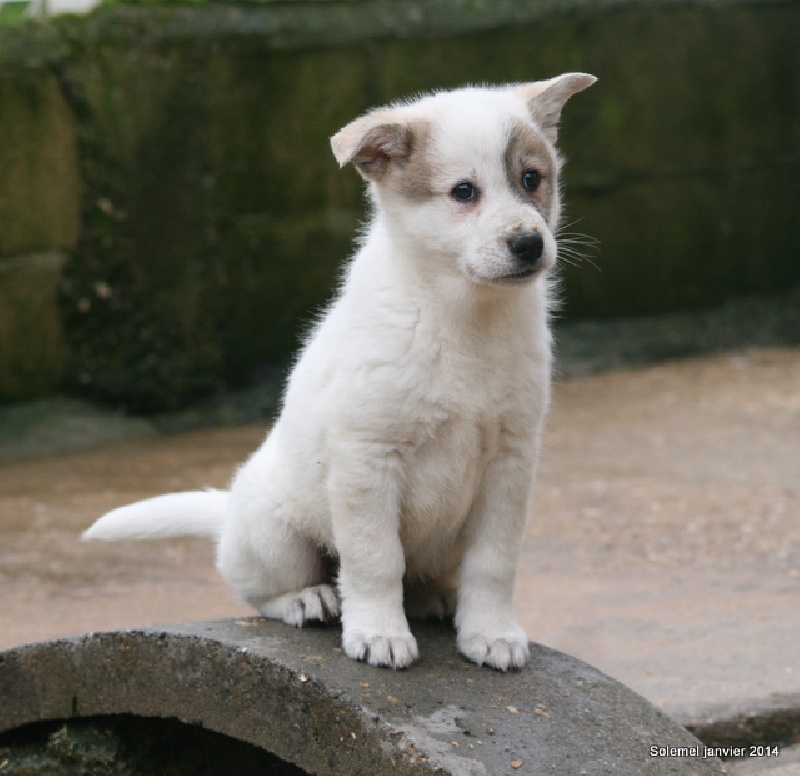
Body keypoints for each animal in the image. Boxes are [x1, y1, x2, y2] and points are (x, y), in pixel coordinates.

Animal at [86, 76, 592, 668]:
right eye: (464, 192)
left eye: (532, 178)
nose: (530, 244)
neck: (462, 315)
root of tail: (228, 509)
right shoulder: (367, 461)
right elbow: (375, 560)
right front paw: (379, 633)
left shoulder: (509, 464)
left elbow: (494, 562)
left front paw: (491, 632)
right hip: (276, 533)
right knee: (262, 590)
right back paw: (310, 599)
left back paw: (437, 598)